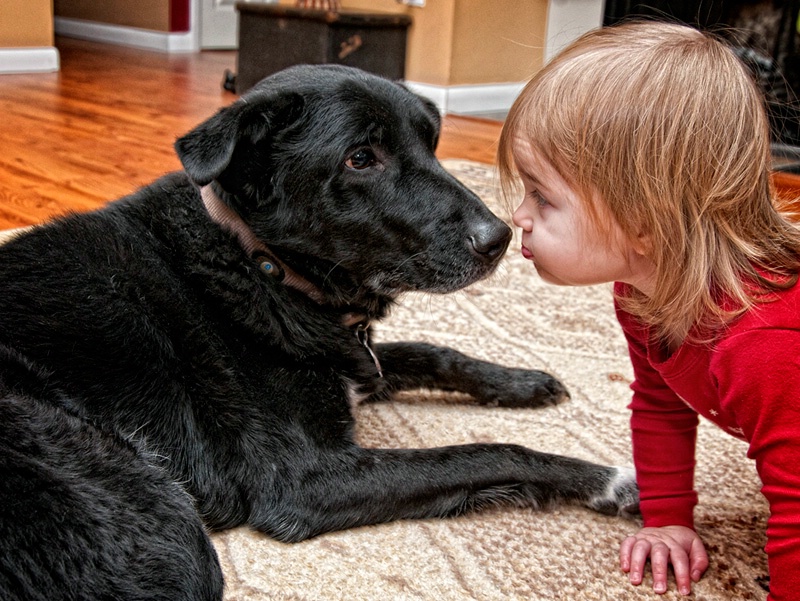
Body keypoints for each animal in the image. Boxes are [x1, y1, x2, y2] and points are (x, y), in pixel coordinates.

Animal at [0, 65, 636, 600]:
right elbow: (487, 453)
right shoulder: (304, 480)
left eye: (430, 144)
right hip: (162, 519)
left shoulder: (355, 361)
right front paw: (609, 479)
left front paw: (522, 381)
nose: (502, 237)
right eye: (360, 158)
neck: (261, 263)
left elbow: (434, 352)